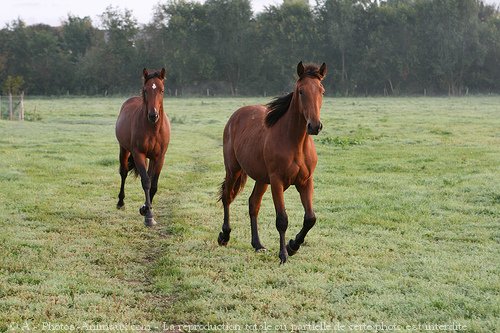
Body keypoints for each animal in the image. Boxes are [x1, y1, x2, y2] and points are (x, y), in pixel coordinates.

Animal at [217, 60, 326, 262]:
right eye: (301, 91)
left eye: (322, 91)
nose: (314, 126)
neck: (295, 143)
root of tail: (236, 116)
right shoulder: (277, 182)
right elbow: (282, 220)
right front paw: (283, 254)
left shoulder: (305, 182)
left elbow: (310, 218)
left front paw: (293, 246)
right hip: (233, 169)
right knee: (227, 196)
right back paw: (224, 236)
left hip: (261, 179)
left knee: (253, 204)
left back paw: (258, 245)